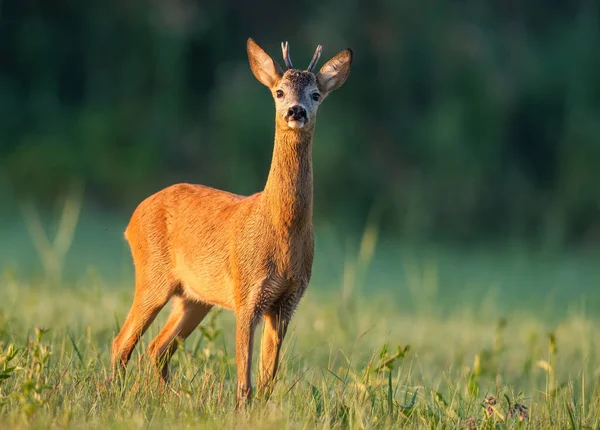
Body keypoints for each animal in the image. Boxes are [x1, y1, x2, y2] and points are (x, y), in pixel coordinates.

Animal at [111, 37, 352, 406]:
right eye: (279, 92)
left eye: (315, 94)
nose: (295, 111)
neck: (281, 229)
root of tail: (133, 217)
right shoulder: (246, 292)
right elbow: (245, 379)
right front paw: (241, 408)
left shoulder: (287, 301)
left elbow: (267, 379)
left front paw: (264, 410)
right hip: (154, 276)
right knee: (122, 342)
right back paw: (112, 393)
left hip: (194, 297)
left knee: (157, 347)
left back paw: (167, 398)